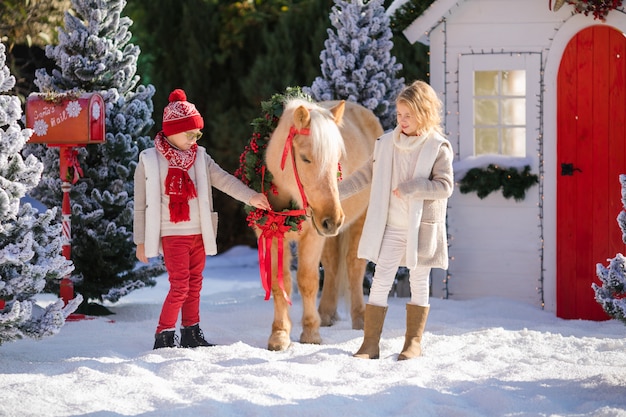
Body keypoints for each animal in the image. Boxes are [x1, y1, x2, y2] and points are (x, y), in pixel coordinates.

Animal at [258, 99, 380, 350]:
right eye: (305, 158)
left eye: (337, 160)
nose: (333, 219)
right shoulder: (272, 236)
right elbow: (279, 283)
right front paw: (280, 335)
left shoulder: (312, 238)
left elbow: (308, 281)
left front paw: (310, 333)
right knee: (333, 266)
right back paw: (326, 314)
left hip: (359, 221)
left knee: (353, 266)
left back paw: (360, 318)